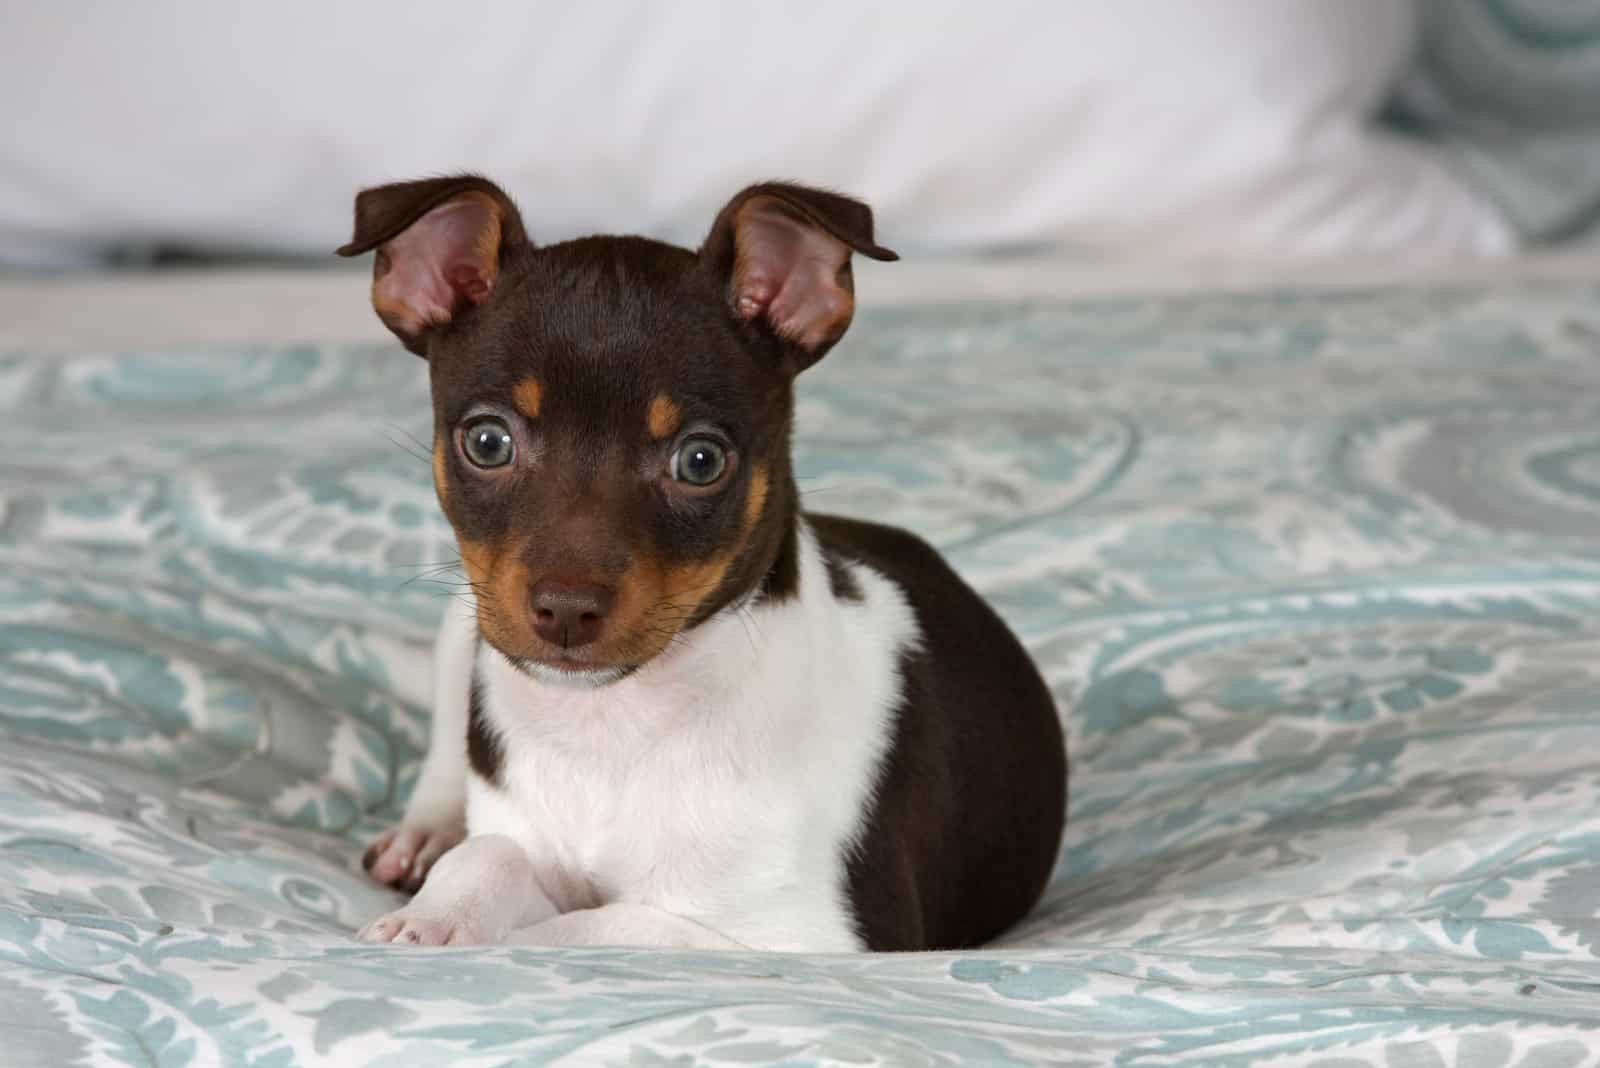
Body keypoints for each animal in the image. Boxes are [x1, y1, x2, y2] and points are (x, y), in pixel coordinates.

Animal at [340, 175, 1062, 952]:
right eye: (487, 442)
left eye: (700, 461)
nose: (566, 609)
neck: (612, 729)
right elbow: (491, 853)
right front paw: (434, 917)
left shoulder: (825, 937)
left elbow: (598, 925)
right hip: (464, 620)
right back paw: (424, 835)